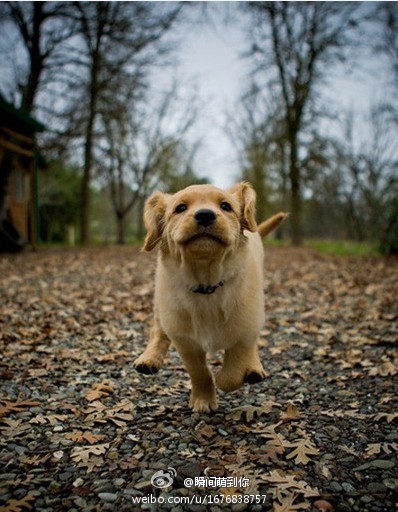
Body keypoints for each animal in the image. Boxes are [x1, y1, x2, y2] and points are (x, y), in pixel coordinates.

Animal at [134, 182, 286, 414]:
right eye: (180, 208)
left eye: (226, 206)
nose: (205, 215)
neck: (206, 285)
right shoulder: (185, 340)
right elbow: (200, 372)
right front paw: (203, 400)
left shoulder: (246, 328)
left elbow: (234, 368)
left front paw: (229, 378)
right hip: (162, 305)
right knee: (158, 330)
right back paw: (148, 358)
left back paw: (253, 369)